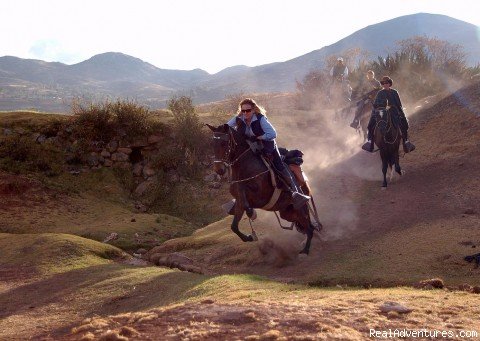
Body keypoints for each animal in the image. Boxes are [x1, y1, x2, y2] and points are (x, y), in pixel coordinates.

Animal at [207, 123, 322, 254]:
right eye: (213, 144)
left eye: (224, 143)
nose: (219, 170)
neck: (244, 167)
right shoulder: (240, 202)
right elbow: (234, 226)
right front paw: (250, 236)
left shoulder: (261, 197)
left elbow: (247, 202)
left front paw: (252, 214)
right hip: (287, 212)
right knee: (306, 226)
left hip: (301, 207)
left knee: (310, 228)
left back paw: (305, 251)